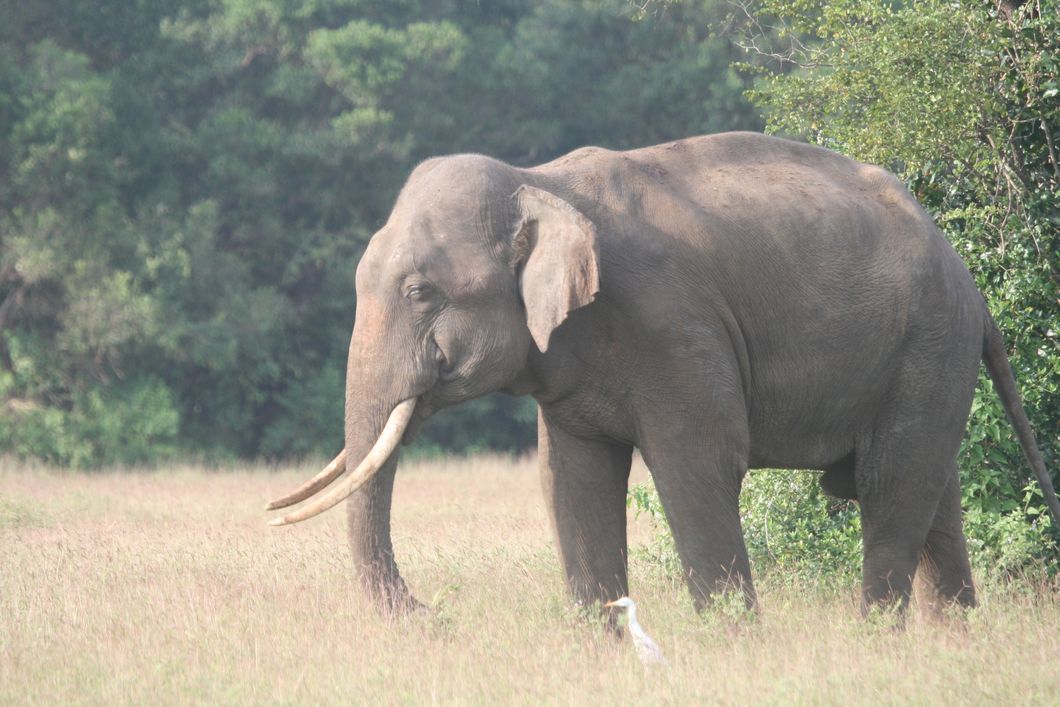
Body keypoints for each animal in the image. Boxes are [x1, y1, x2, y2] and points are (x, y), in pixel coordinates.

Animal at [267, 131, 1060, 618]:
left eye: (419, 292)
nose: (431, 611)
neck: (539, 180)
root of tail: (969, 280)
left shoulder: (675, 329)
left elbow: (698, 465)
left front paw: (732, 646)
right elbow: (571, 478)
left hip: (927, 344)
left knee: (890, 485)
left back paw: (876, 639)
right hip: (926, 356)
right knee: (932, 491)